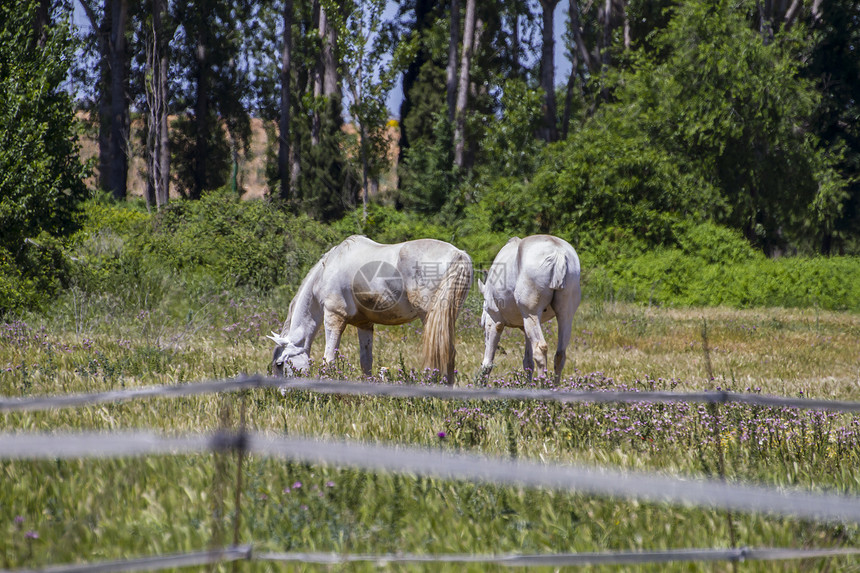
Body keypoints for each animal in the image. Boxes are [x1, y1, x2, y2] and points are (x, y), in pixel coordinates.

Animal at [268, 235, 474, 382]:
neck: (327, 271)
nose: (284, 394)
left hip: (430, 318)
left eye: (279, 364)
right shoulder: (364, 324)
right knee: (449, 352)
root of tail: (458, 255)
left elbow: (329, 358)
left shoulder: (334, 317)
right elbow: (366, 361)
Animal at [474, 235, 580, 382]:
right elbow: (528, 362)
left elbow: (488, 363)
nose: (482, 322)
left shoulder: (495, 321)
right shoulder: (525, 327)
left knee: (541, 350)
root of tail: (558, 253)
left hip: (532, 315)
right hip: (564, 315)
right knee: (560, 354)